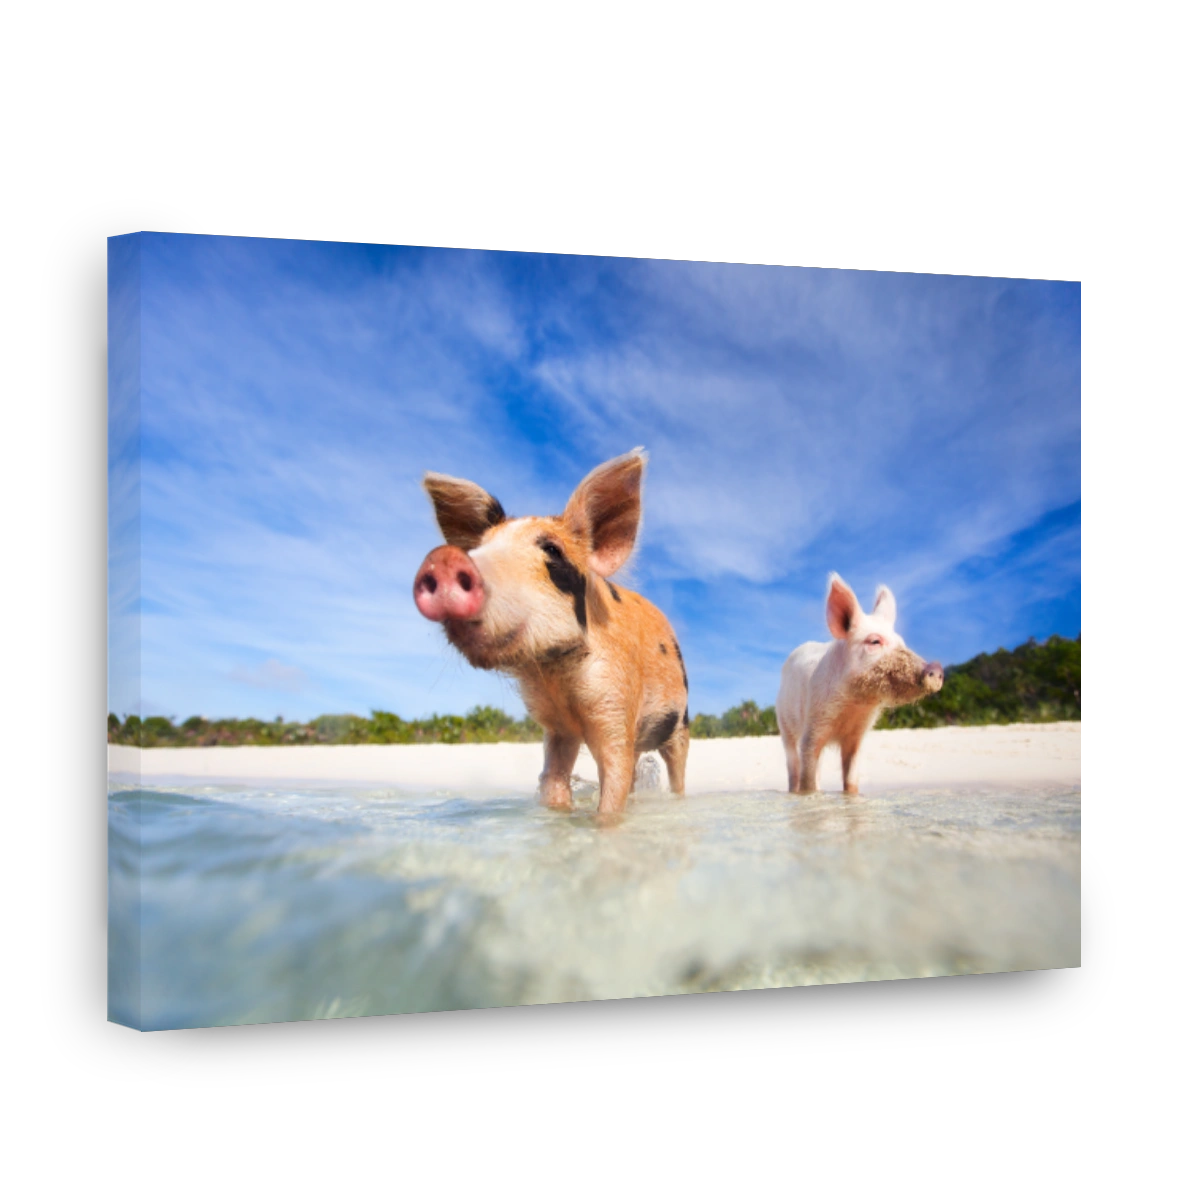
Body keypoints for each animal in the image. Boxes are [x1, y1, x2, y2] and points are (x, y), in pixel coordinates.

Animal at [412, 447, 689, 815]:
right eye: (479, 547)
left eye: (553, 551)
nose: (443, 559)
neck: (556, 675)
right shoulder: (556, 727)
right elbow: (554, 781)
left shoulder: (616, 701)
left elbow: (612, 787)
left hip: (681, 723)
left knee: (676, 772)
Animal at [776, 573, 944, 795]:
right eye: (874, 641)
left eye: (902, 642)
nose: (937, 668)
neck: (854, 705)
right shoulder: (813, 726)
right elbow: (808, 778)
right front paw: (809, 795)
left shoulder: (858, 734)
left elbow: (851, 778)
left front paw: (850, 796)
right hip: (784, 723)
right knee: (793, 764)